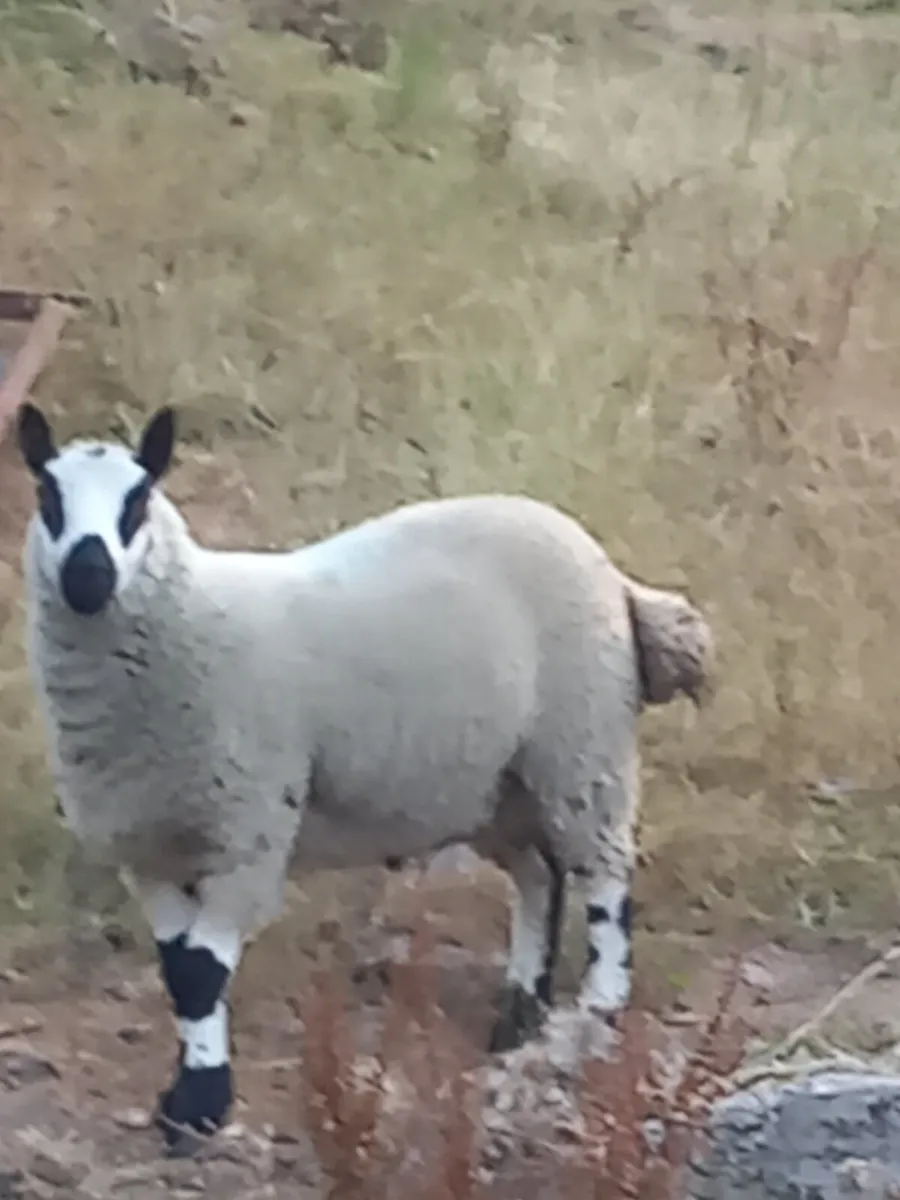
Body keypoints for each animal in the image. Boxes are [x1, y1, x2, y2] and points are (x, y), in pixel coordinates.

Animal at [15, 401, 713, 1156]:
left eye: (138, 499)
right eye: (47, 496)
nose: (88, 577)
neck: (191, 617)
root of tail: (611, 574)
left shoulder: (248, 831)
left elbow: (202, 972)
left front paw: (200, 1108)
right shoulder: (149, 850)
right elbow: (179, 972)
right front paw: (183, 1098)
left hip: (582, 746)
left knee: (605, 876)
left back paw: (599, 1009)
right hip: (495, 782)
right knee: (539, 877)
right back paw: (519, 1013)